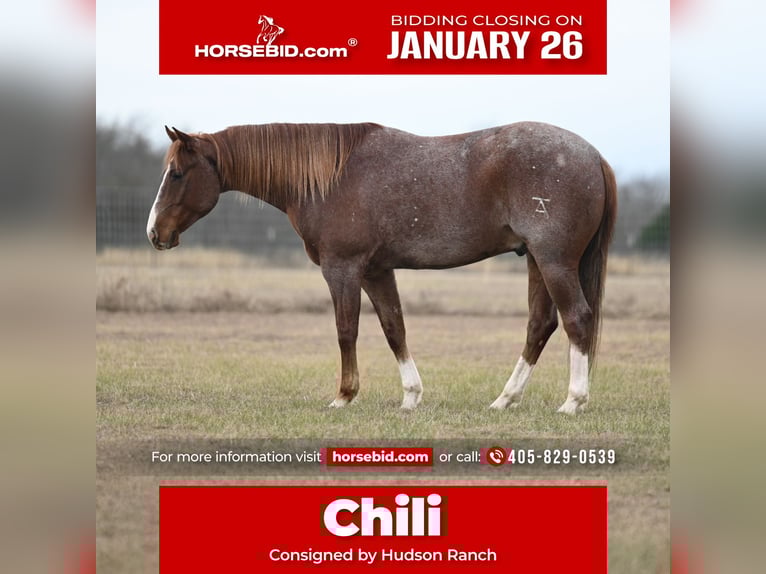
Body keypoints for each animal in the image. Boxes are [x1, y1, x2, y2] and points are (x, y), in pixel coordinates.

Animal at [147, 122, 616, 414]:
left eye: (176, 173)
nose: (155, 233)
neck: (330, 178)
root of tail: (594, 155)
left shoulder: (342, 269)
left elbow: (346, 330)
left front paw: (344, 396)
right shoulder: (376, 271)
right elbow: (394, 328)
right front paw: (410, 397)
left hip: (554, 261)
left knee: (577, 318)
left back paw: (572, 401)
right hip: (536, 260)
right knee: (541, 324)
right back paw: (504, 399)